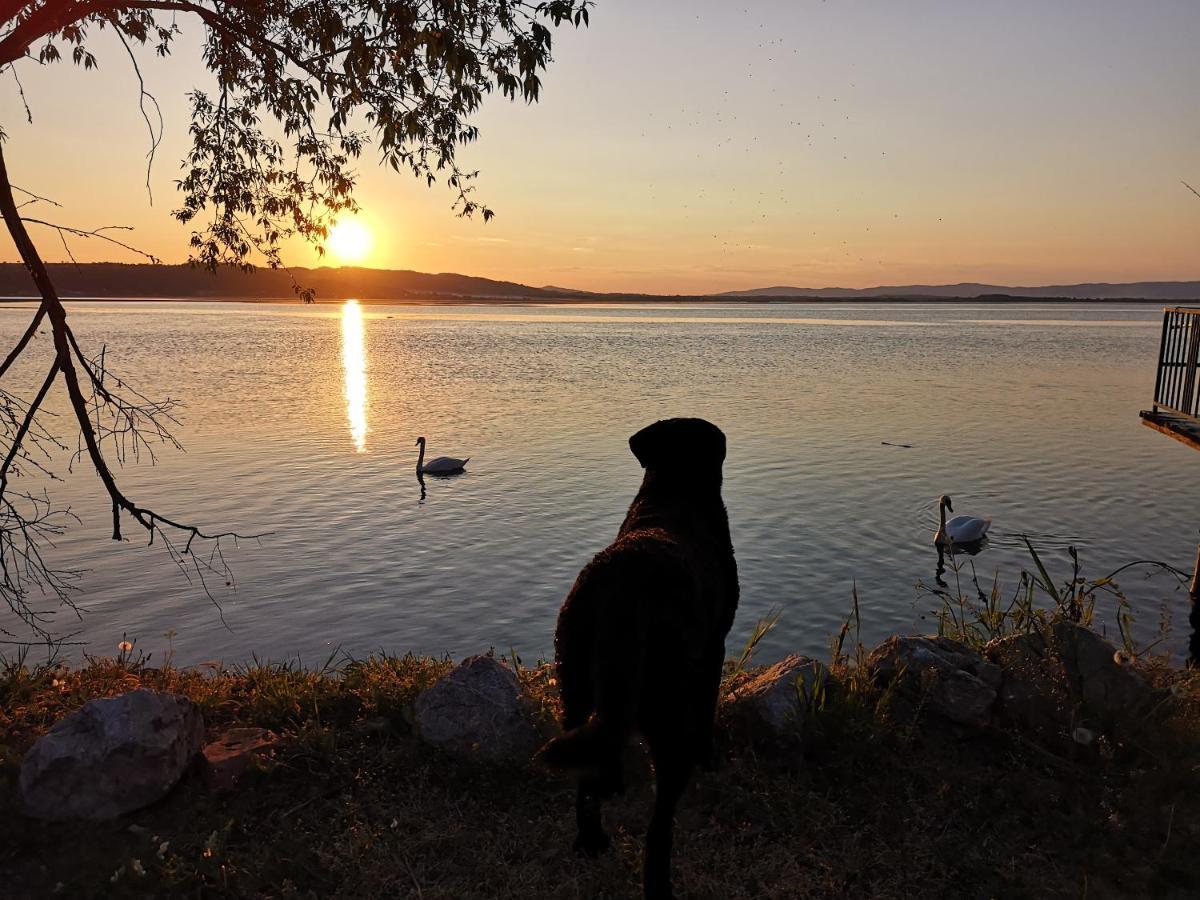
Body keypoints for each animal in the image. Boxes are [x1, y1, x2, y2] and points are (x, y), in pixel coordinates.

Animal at [537, 420, 739, 897]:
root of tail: (621, 591)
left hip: (574, 680)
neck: (673, 495)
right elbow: (708, 708)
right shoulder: (714, 647)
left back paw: (591, 838)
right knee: (659, 824)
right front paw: (710, 758)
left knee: (588, 766)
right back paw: (658, 883)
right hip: (666, 707)